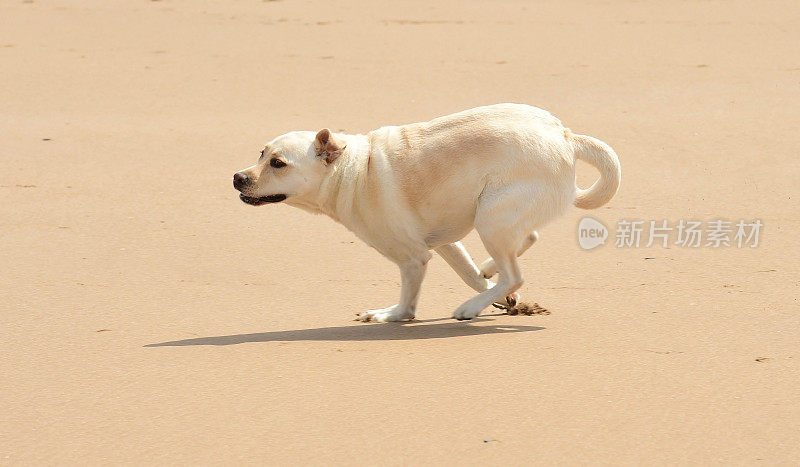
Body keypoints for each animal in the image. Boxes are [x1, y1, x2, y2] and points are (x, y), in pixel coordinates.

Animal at [231, 103, 620, 322]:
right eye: (261, 153)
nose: (237, 178)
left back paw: (470, 308)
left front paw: (389, 315)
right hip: (494, 216)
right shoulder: (446, 243)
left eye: (278, 164)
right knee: (525, 242)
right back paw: (488, 282)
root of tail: (565, 136)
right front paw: (497, 297)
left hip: (490, 219)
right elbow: (469, 274)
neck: (354, 170)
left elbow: (407, 304)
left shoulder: (413, 258)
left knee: (515, 274)